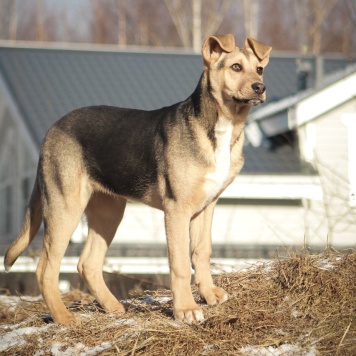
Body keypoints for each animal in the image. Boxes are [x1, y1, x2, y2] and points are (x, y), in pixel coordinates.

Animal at [4, 34, 272, 326]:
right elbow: (180, 263)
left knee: (88, 263)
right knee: (45, 270)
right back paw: (64, 318)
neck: (219, 127)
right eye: (236, 67)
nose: (260, 87)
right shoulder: (177, 209)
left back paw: (113, 307)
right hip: (65, 207)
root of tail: (51, 130)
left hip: (108, 211)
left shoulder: (206, 207)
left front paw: (209, 295)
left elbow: (201, 252)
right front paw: (186, 310)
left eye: (259, 69)